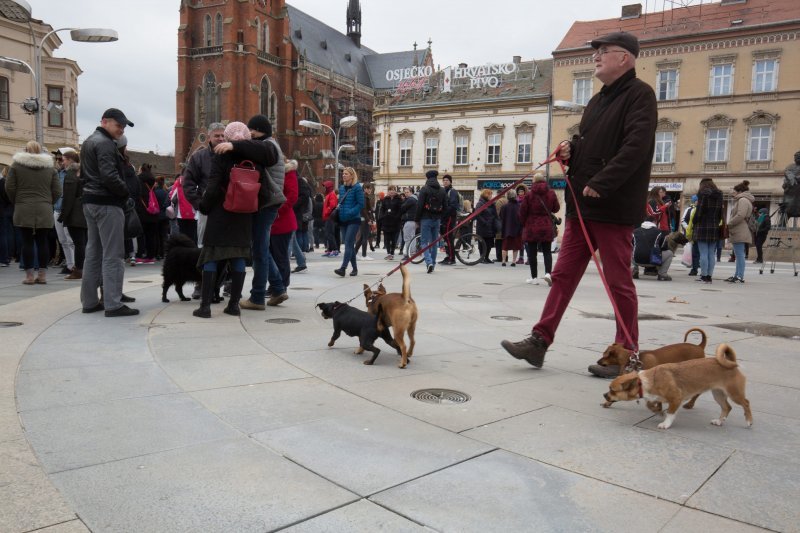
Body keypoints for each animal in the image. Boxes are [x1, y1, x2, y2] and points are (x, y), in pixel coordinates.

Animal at [604, 342, 752, 430]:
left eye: (612, 390)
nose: (604, 395)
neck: (646, 380)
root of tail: (731, 363)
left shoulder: (676, 399)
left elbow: (670, 413)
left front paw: (665, 423)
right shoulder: (655, 397)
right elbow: (651, 405)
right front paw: (658, 412)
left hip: (734, 393)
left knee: (746, 403)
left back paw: (749, 420)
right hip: (718, 394)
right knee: (727, 407)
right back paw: (720, 421)